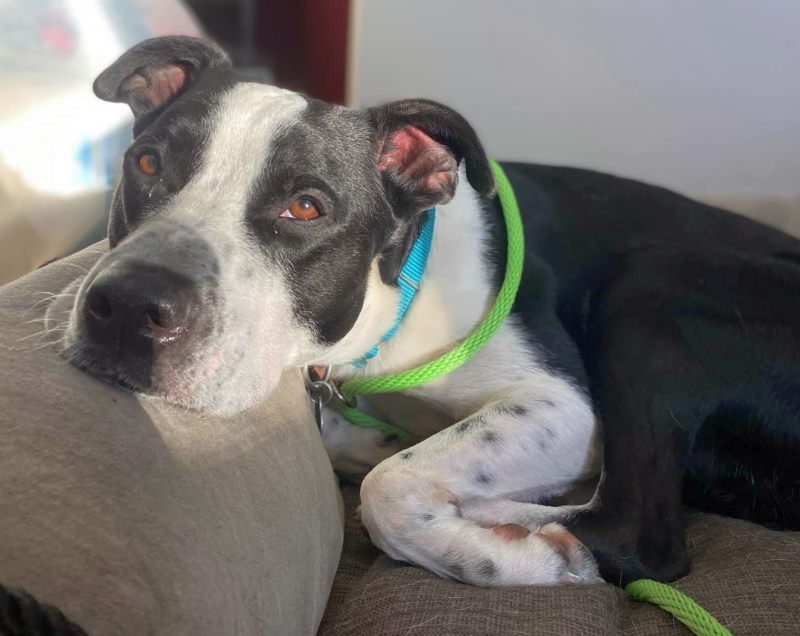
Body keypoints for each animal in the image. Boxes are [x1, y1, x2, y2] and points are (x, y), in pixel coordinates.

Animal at [57, 37, 800, 588]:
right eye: (146, 163)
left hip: (650, 282)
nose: (126, 305)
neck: (392, 306)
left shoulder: (560, 406)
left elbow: (388, 488)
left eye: (306, 207)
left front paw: (513, 555)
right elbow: (370, 450)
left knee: (641, 538)